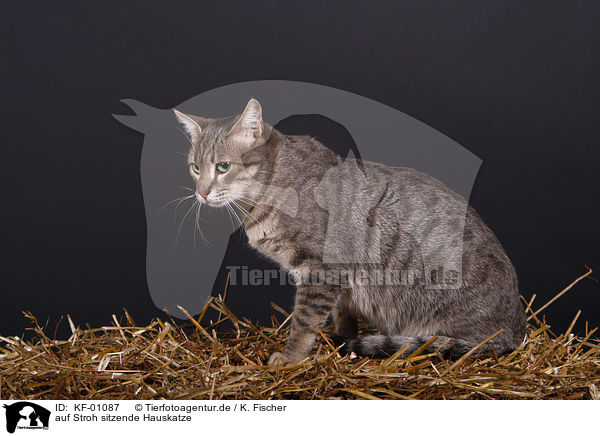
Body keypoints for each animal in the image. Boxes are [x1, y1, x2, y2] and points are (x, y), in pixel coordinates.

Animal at [172, 98, 524, 364]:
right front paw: (342, 340)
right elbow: (342, 313)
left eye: (223, 167)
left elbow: (304, 321)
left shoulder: (321, 267)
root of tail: (518, 328)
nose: (201, 193)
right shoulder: (342, 283)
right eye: (195, 168)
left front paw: (290, 359)